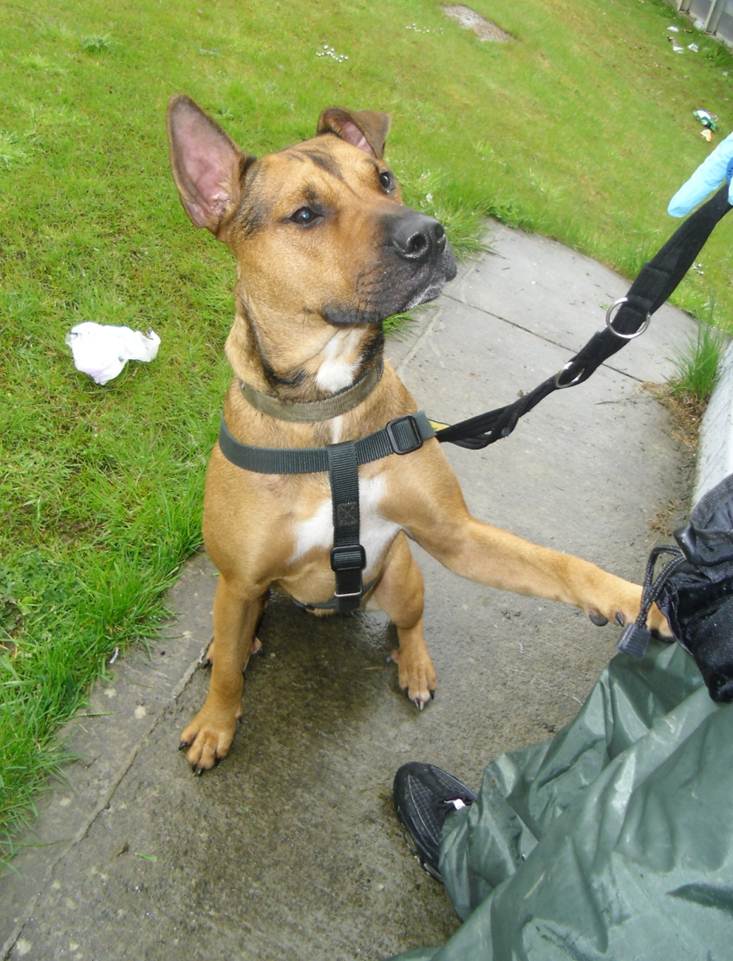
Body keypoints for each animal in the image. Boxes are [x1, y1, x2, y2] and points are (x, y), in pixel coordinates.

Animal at [167, 97, 664, 772]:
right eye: (305, 214)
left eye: (384, 178)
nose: (428, 233)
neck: (330, 416)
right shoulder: (241, 581)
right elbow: (226, 681)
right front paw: (216, 724)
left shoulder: (455, 535)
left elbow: (555, 562)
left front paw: (631, 596)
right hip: (247, 593)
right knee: (237, 638)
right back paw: (232, 647)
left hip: (403, 575)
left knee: (410, 622)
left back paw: (416, 665)